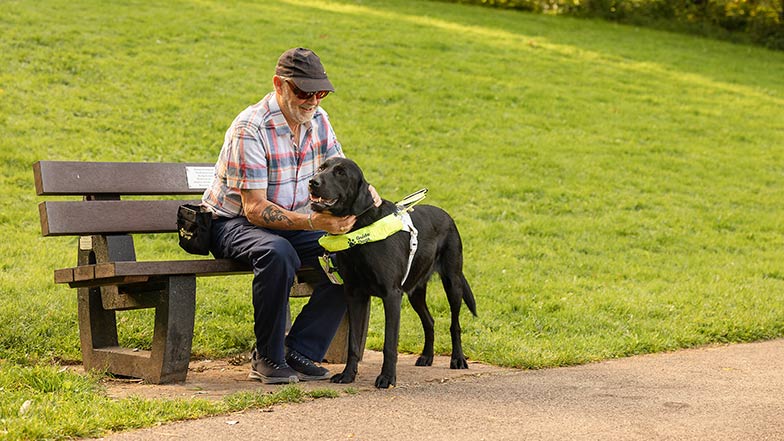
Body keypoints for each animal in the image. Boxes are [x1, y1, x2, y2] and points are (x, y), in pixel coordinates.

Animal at [310, 156, 474, 386]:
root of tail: (447, 215)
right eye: (321, 167)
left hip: (453, 282)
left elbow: (389, 344)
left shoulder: (392, 295)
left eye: (341, 173)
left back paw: (458, 359)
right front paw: (348, 374)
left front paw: (387, 378)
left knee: (455, 324)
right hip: (415, 291)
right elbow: (353, 344)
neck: (360, 231)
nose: (313, 181)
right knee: (429, 321)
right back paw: (427, 356)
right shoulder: (354, 295)